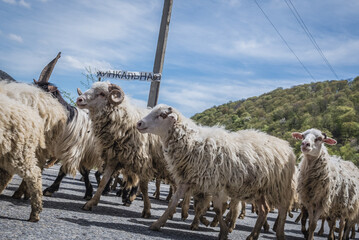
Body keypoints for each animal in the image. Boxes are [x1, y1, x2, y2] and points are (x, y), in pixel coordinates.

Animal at [136, 104, 296, 240]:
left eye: (162, 115)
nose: (138, 123)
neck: (193, 143)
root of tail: (286, 146)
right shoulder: (186, 180)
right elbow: (174, 202)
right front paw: (157, 224)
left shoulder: (217, 184)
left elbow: (218, 209)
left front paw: (222, 231)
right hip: (259, 189)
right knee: (264, 210)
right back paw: (252, 236)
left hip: (278, 187)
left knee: (282, 209)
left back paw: (279, 233)